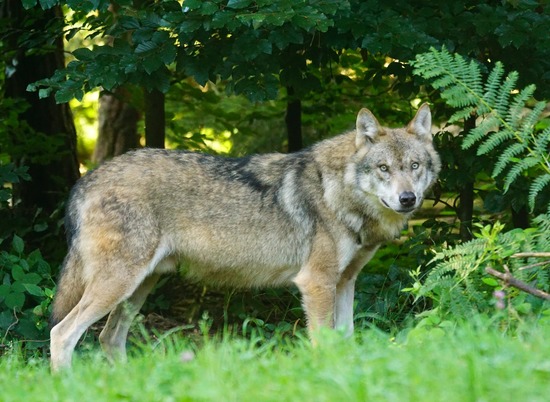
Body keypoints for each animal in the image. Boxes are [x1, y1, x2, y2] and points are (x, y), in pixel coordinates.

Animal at [49, 104, 442, 370]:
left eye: (414, 166)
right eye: (384, 169)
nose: (408, 199)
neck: (338, 191)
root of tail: (86, 179)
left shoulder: (345, 282)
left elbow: (346, 341)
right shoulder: (316, 283)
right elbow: (325, 344)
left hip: (138, 288)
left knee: (108, 338)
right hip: (119, 285)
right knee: (62, 333)